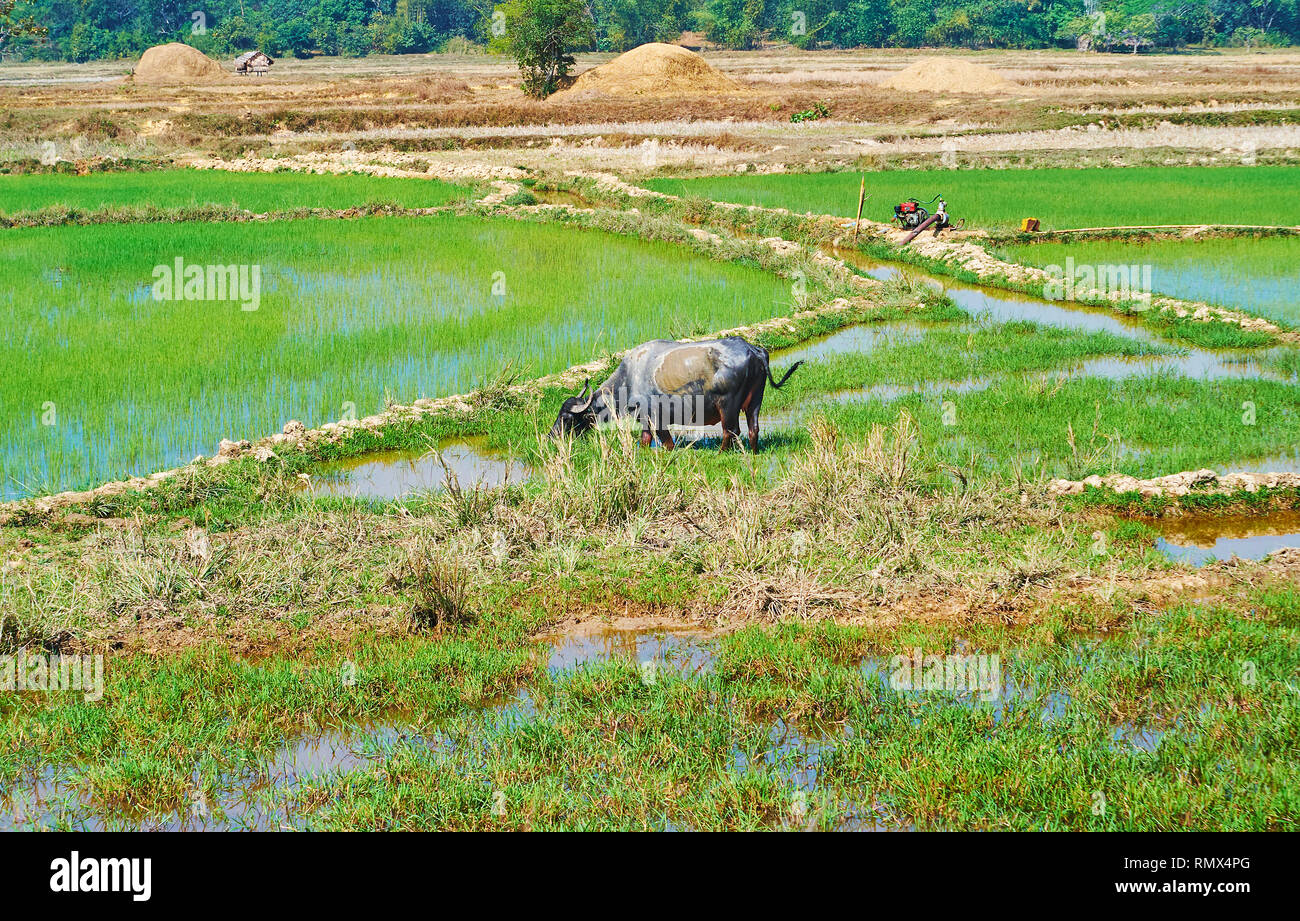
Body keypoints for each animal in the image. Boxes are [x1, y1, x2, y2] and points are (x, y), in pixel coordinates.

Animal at [543, 338, 795, 452]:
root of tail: (754, 350)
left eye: (566, 418)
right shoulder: (648, 421)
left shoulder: (656, 418)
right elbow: (648, 440)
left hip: (728, 405)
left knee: (731, 430)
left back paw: (722, 452)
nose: (551, 436)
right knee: (753, 428)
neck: (629, 379)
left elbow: (664, 441)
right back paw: (753, 451)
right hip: (755, 402)